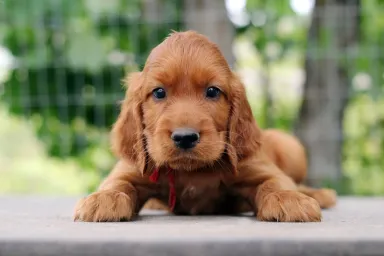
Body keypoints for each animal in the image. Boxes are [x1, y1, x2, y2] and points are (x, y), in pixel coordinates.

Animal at [73, 30, 336, 222]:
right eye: (159, 92)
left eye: (212, 91)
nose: (185, 137)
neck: (191, 172)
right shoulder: (131, 168)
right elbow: (117, 182)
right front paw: (104, 198)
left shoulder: (259, 167)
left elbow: (275, 182)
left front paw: (288, 198)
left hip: (290, 146)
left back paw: (318, 194)